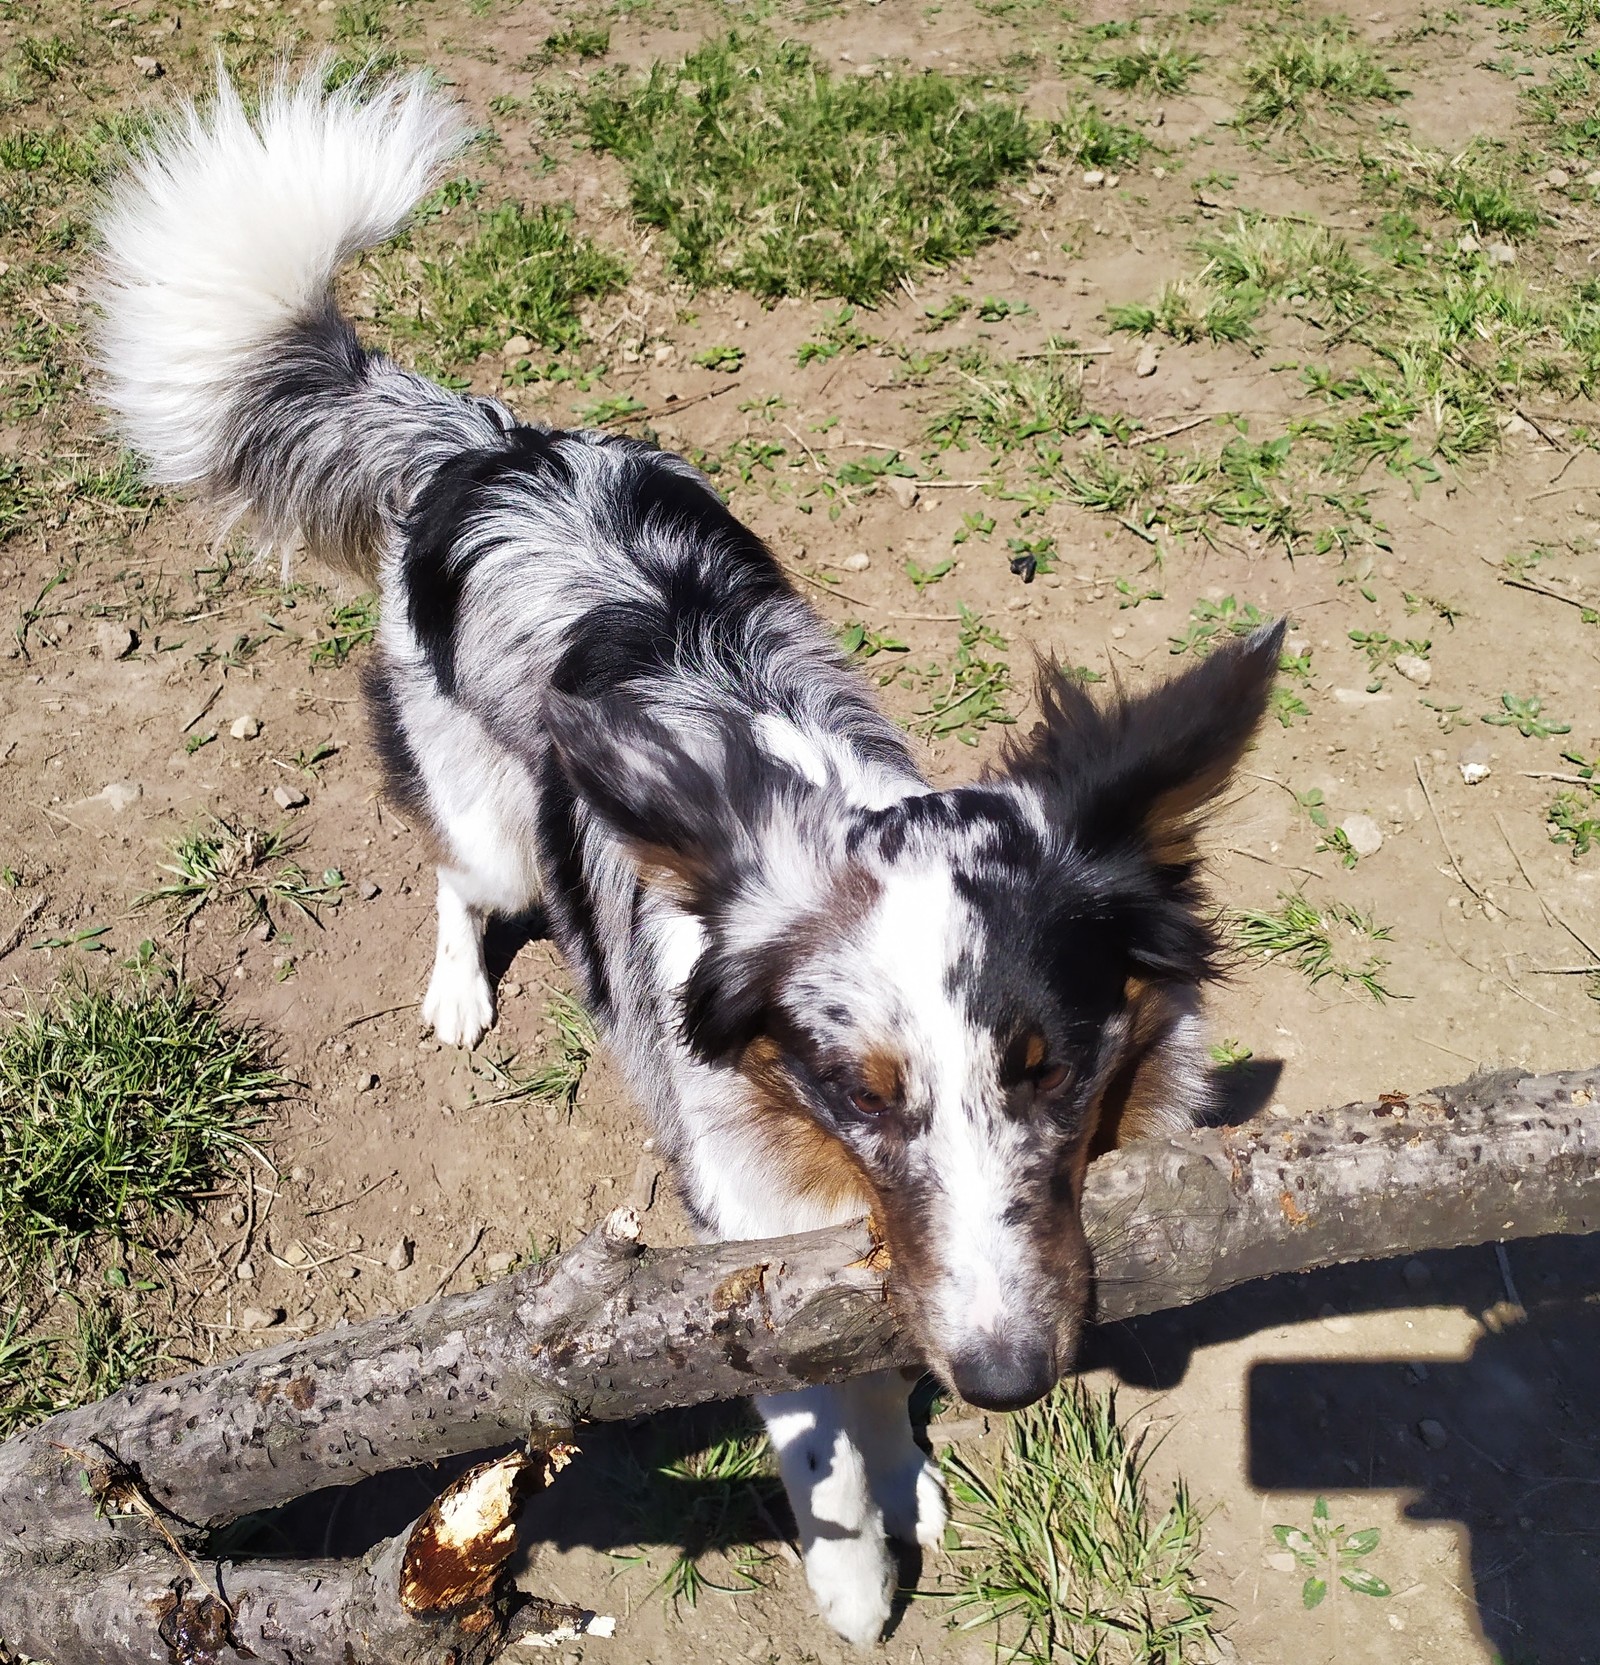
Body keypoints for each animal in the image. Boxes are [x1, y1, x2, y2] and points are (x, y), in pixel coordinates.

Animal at [90, 71, 1285, 1645]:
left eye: (1053, 1071)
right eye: (862, 1091)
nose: (1009, 1379)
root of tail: (491, 446)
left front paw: (912, 1476)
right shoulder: (741, 1229)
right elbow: (814, 1412)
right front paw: (853, 1570)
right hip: (486, 819)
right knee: (459, 877)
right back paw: (459, 992)